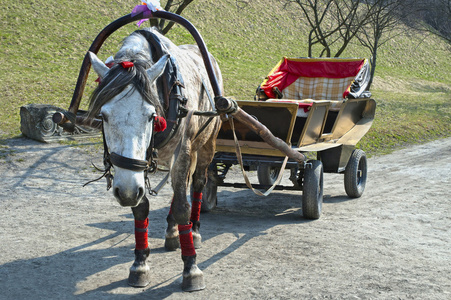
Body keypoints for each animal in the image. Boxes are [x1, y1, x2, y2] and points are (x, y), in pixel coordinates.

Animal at [86, 27, 222, 290]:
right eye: (104, 116)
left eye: (151, 116)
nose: (127, 192)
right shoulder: (134, 172)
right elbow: (141, 208)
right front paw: (140, 263)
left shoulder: (183, 150)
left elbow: (182, 207)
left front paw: (191, 268)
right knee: (180, 185)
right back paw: (172, 233)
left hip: (205, 144)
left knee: (197, 183)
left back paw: (194, 231)